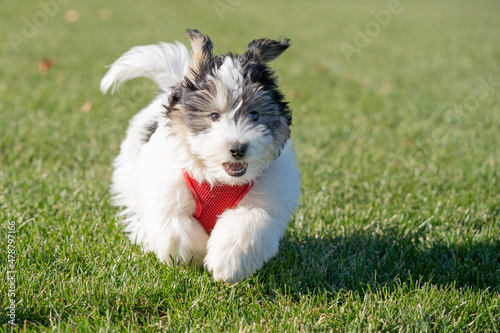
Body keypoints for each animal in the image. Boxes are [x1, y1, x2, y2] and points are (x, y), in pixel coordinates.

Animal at [99, 29, 298, 282]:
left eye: (254, 115)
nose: (238, 148)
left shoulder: (266, 199)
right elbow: (177, 226)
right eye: (213, 116)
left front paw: (227, 263)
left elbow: (247, 223)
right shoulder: (166, 191)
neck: (220, 180)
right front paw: (195, 255)